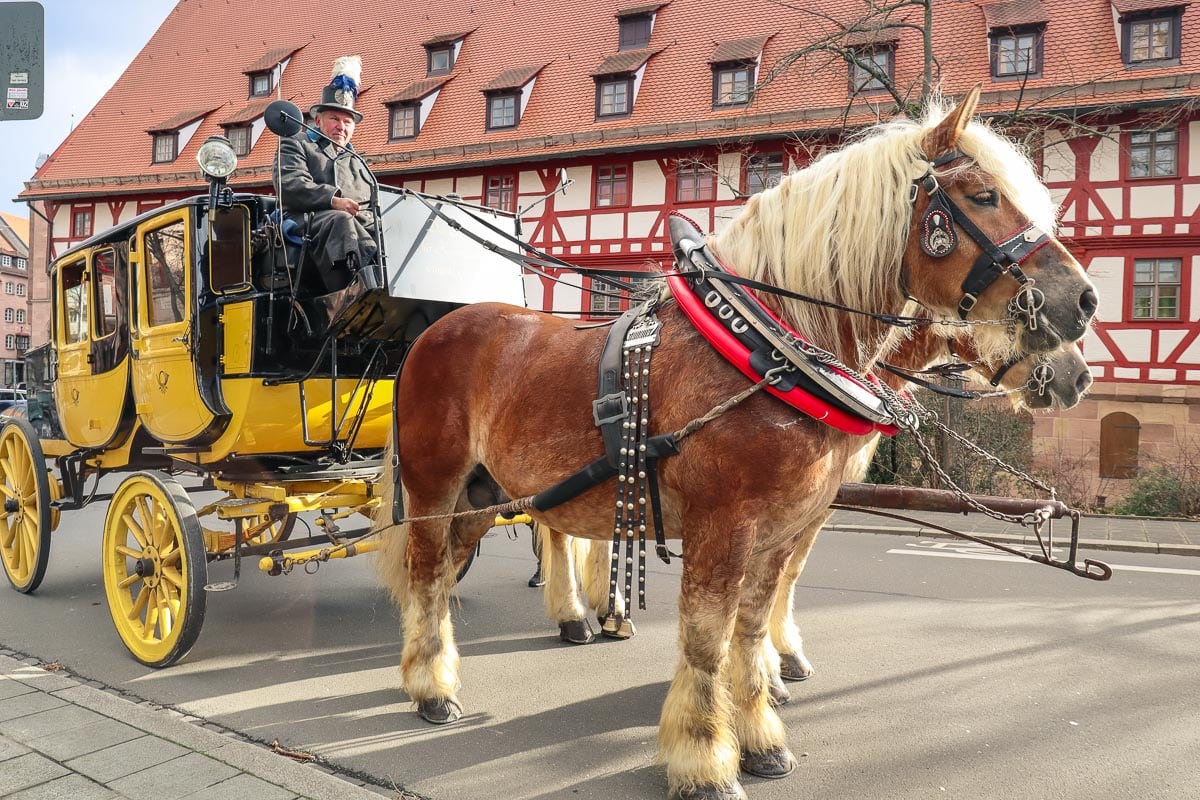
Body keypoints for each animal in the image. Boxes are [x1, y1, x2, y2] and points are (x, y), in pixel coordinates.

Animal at [376, 90, 1099, 796]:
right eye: (982, 195)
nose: (1085, 304)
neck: (768, 351)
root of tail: (435, 331)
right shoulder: (723, 526)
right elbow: (706, 636)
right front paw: (704, 759)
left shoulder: (783, 527)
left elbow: (750, 627)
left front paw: (760, 730)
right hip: (436, 484)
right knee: (426, 570)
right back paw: (432, 686)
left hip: (486, 493)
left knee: (448, 568)